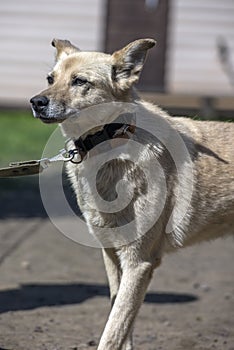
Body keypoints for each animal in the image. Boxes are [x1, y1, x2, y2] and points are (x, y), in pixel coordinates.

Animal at [30, 39, 234, 350]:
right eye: (50, 79)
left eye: (80, 81)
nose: (36, 102)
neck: (111, 141)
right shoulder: (113, 256)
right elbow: (123, 325)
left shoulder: (139, 262)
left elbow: (114, 329)